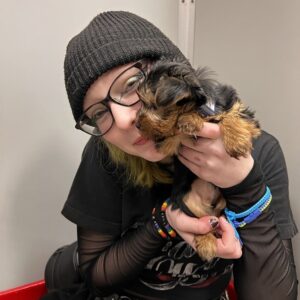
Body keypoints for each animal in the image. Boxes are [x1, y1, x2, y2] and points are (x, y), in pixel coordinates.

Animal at [136, 58, 260, 260]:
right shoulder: (168, 146)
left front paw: (237, 141)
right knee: (201, 222)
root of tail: (213, 208)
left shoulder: (237, 107)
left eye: (152, 104)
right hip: (187, 202)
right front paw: (189, 121)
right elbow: (174, 135)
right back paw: (206, 242)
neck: (199, 107)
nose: (137, 124)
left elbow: (232, 114)